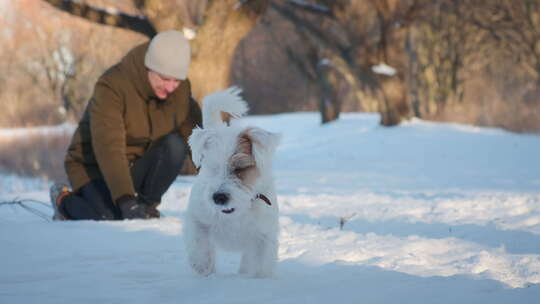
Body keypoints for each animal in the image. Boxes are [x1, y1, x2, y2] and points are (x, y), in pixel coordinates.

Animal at [184, 87, 280, 278]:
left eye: (240, 168)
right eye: (212, 167)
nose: (219, 197)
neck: (235, 213)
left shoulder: (263, 236)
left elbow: (260, 263)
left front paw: (260, 280)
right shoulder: (197, 218)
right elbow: (200, 241)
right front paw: (202, 265)